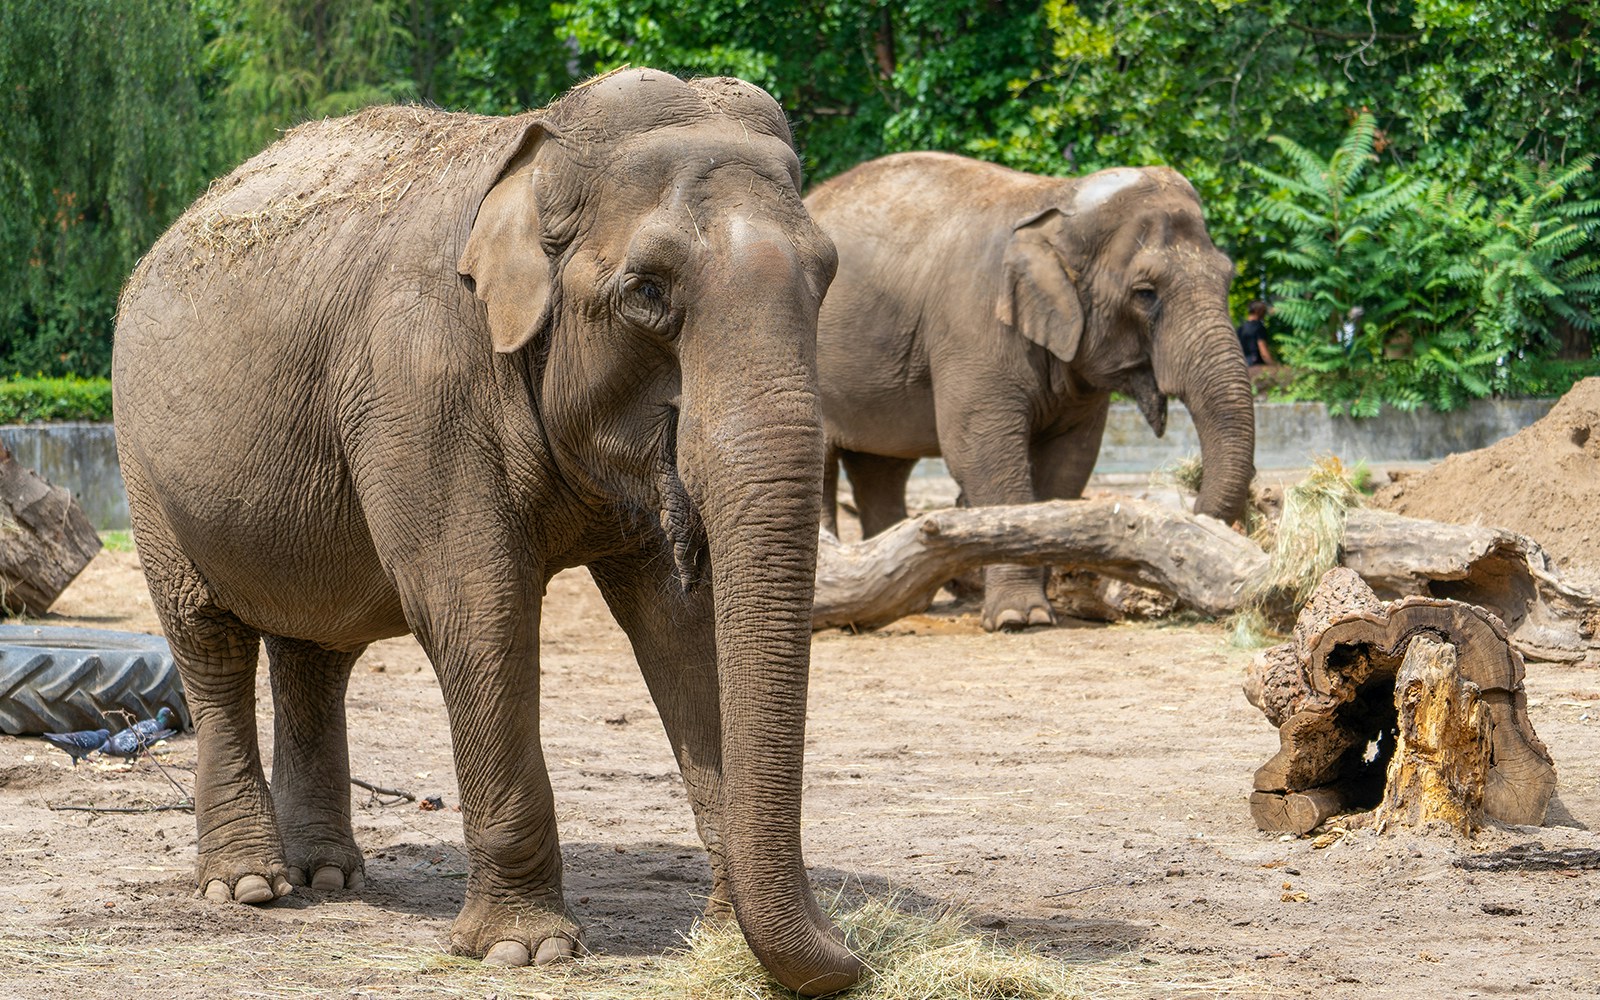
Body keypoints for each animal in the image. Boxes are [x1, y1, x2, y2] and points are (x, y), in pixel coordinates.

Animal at [112, 69, 861, 995]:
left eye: (826, 277)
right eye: (647, 291)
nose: (855, 954)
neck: (538, 156)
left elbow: (682, 627)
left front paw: (722, 942)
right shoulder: (417, 385)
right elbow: (479, 611)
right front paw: (526, 951)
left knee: (314, 651)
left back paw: (330, 876)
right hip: (145, 465)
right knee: (207, 641)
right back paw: (251, 887)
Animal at [806, 152, 1255, 631]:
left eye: (1228, 279)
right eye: (1145, 293)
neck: (1056, 200)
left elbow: (1070, 462)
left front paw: (1040, 606)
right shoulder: (974, 326)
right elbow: (982, 452)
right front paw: (1018, 618)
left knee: (882, 469)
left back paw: (907, 599)